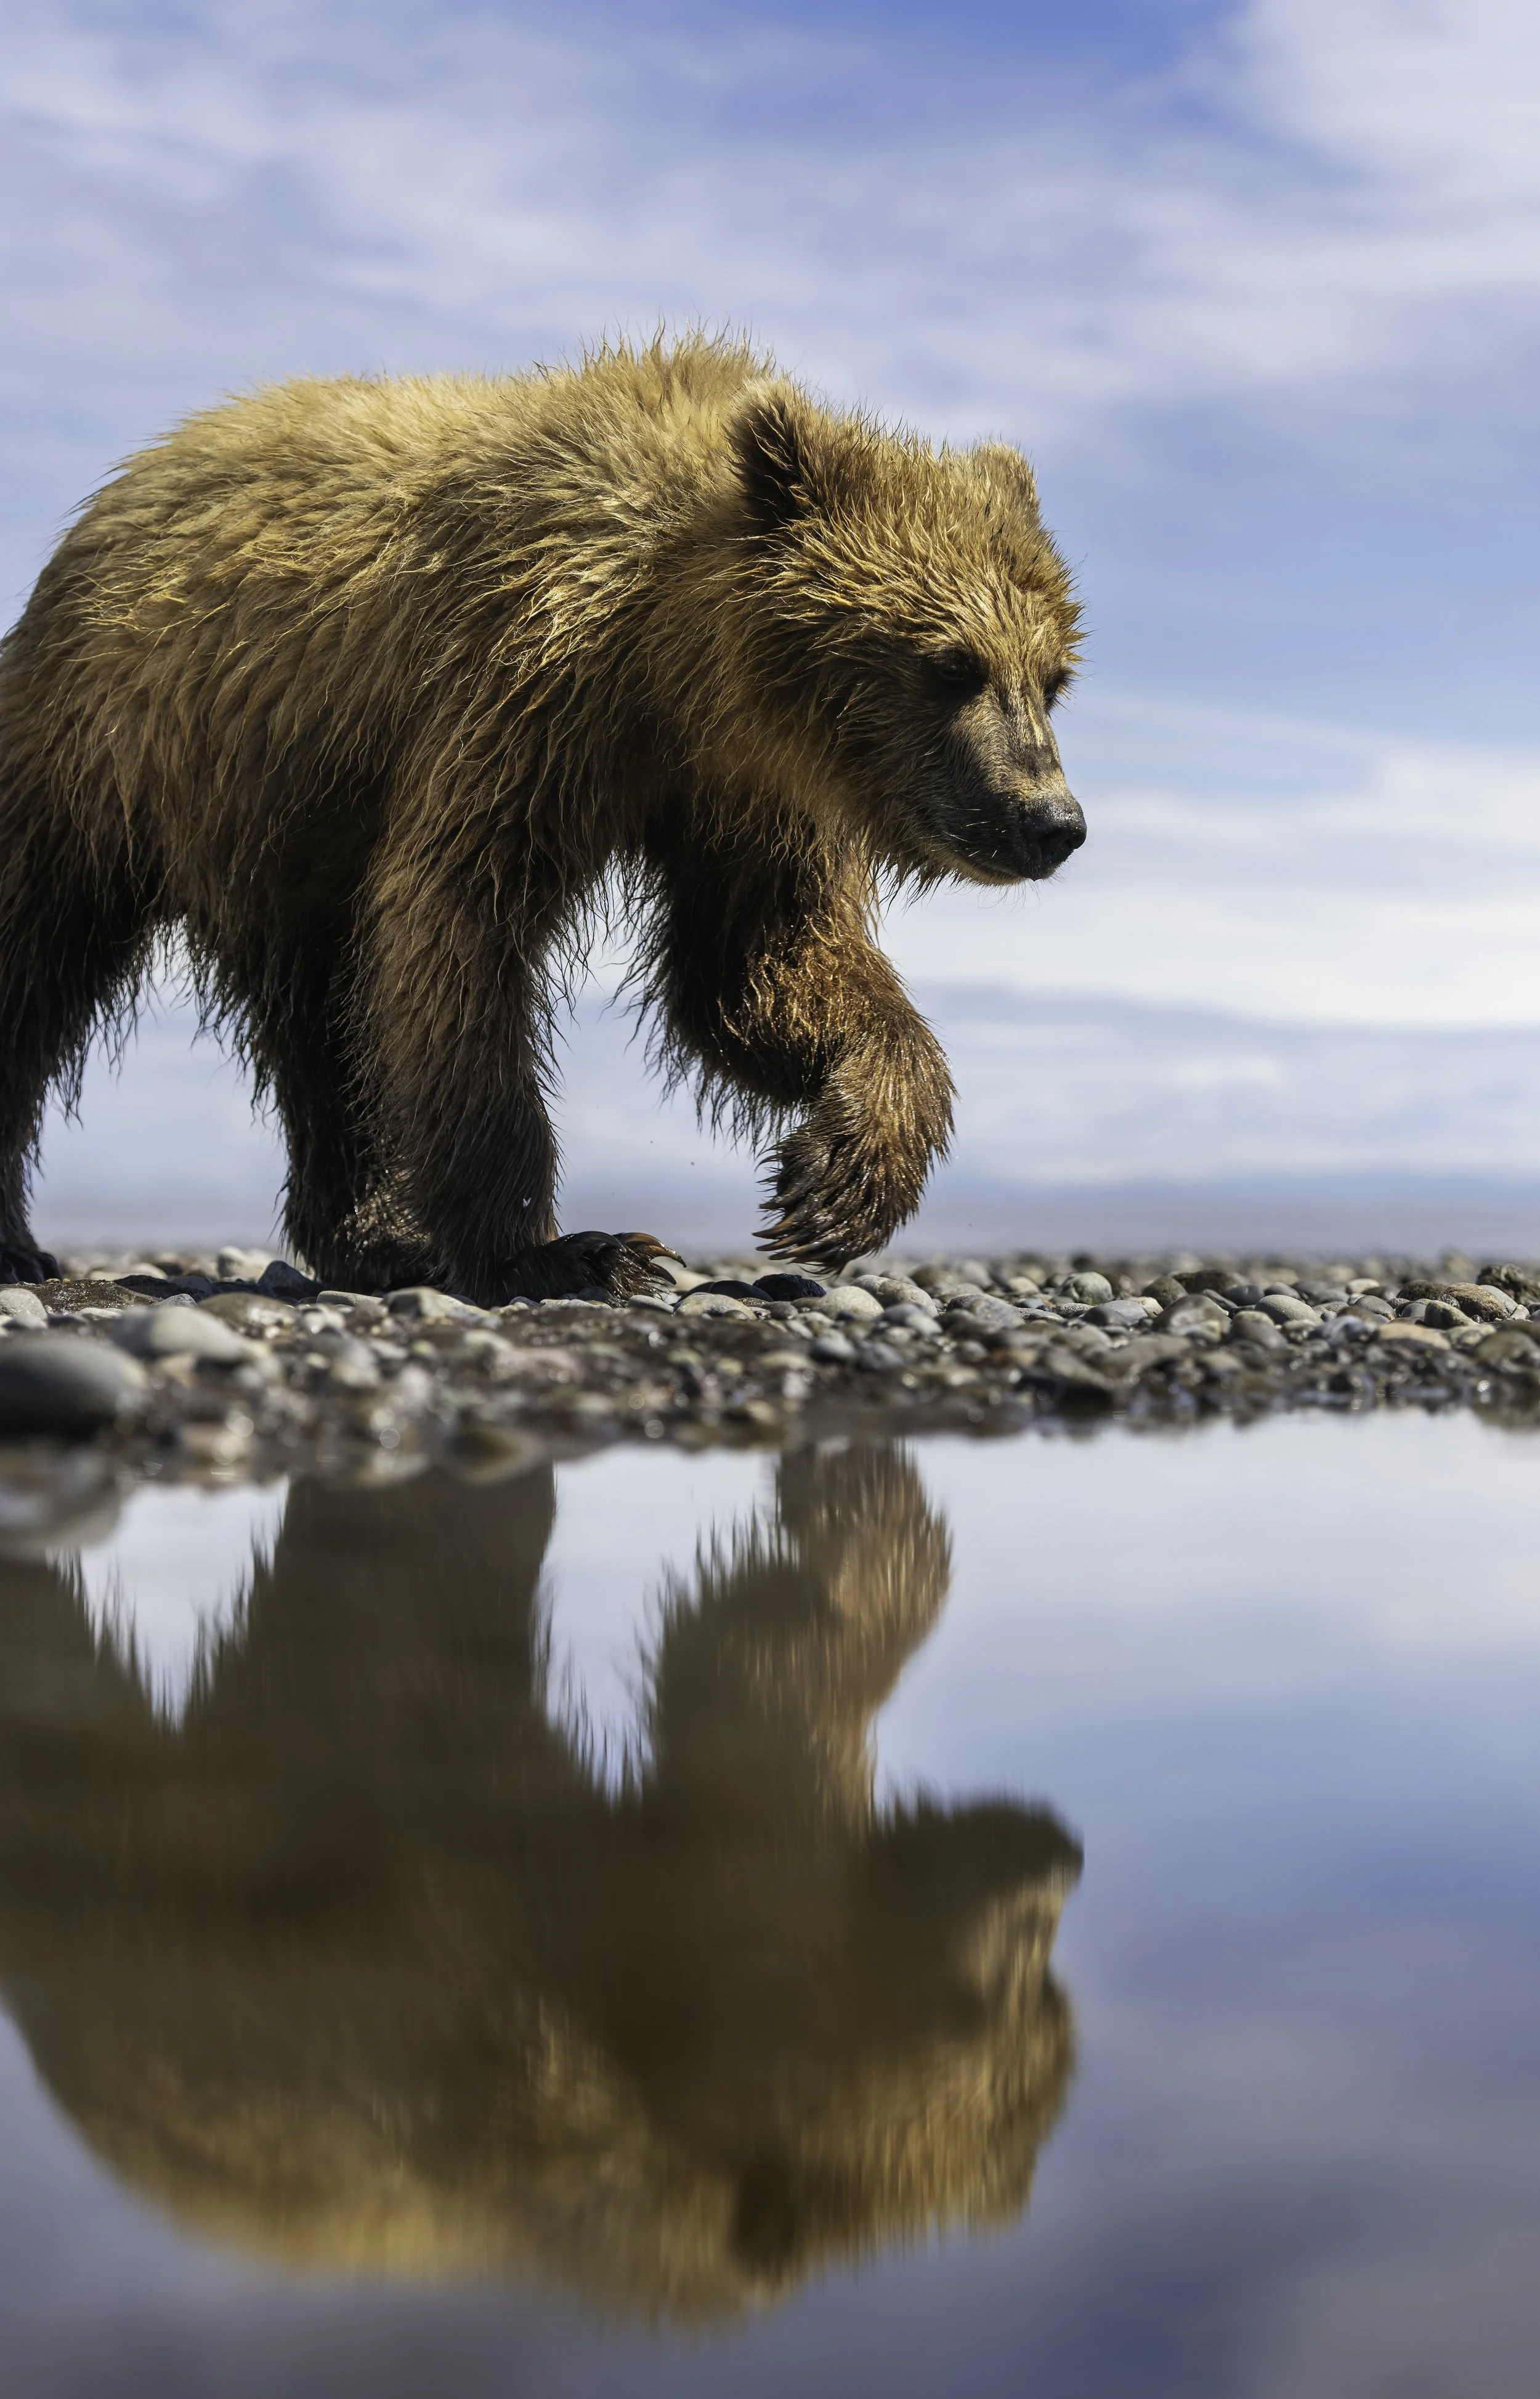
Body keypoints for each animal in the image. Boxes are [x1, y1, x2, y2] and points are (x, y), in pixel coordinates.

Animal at [0, 336, 1083, 1304]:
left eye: (1051, 676)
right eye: (950, 663)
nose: (1050, 820)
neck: (678, 668)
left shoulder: (742, 797)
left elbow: (751, 969)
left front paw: (837, 1180)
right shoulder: (530, 689)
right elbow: (458, 925)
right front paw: (567, 1250)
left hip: (276, 838)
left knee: (323, 1030)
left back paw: (375, 1239)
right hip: (104, 758)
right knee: (37, 962)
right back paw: (25, 1241)